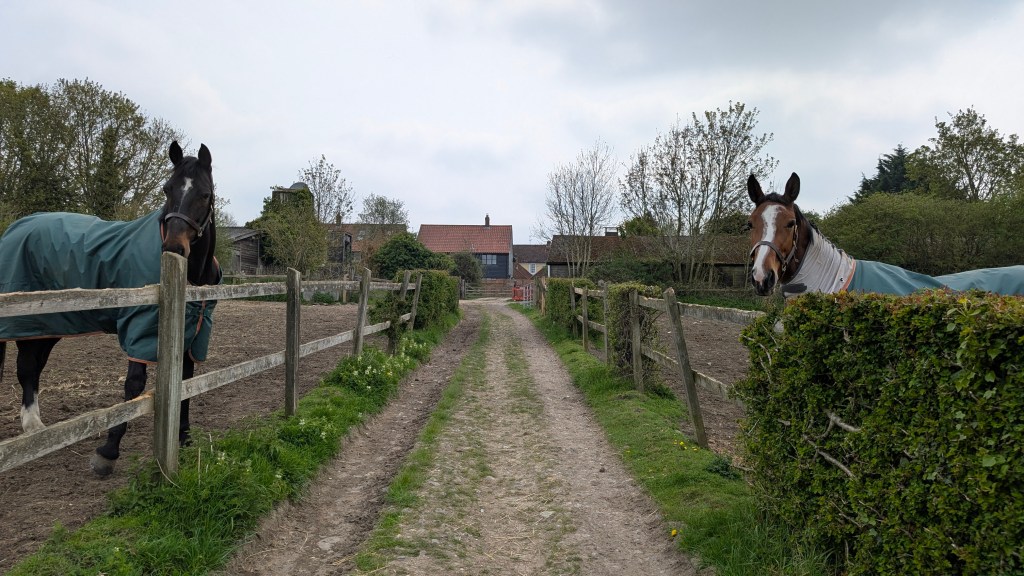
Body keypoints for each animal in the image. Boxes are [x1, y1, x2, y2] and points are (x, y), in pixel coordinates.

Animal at [0, 141, 221, 477]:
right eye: (167, 189)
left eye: (205, 194)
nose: (173, 247)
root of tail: (14, 228)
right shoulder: (140, 327)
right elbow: (134, 386)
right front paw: (108, 451)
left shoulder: (189, 333)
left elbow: (186, 382)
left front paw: (183, 439)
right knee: (26, 368)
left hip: (47, 325)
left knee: (30, 368)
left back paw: (35, 429)